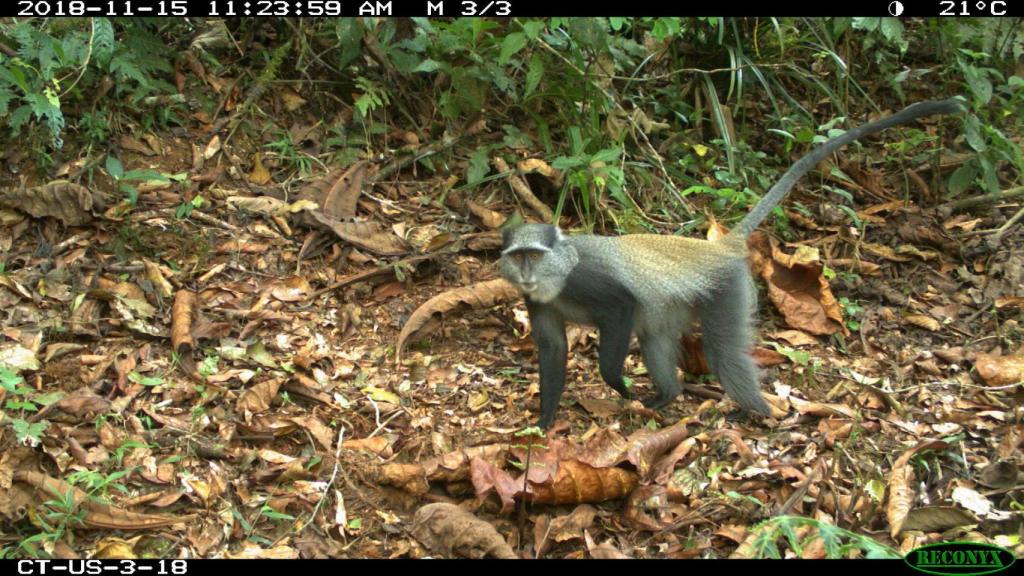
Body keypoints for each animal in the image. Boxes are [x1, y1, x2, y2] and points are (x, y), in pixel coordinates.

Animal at [500, 99, 962, 429]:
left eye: (534, 255)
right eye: (517, 257)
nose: (526, 272)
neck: (558, 276)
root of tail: (719, 249)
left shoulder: (590, 281)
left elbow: (619, 308)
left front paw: (616, 383)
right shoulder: (537, 302)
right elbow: (554, 350)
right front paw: (544, 421)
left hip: (727, 289)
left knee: (724, 351)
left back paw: (761, 414)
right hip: (675, 307)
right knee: (655, 338)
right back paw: (668, 396)